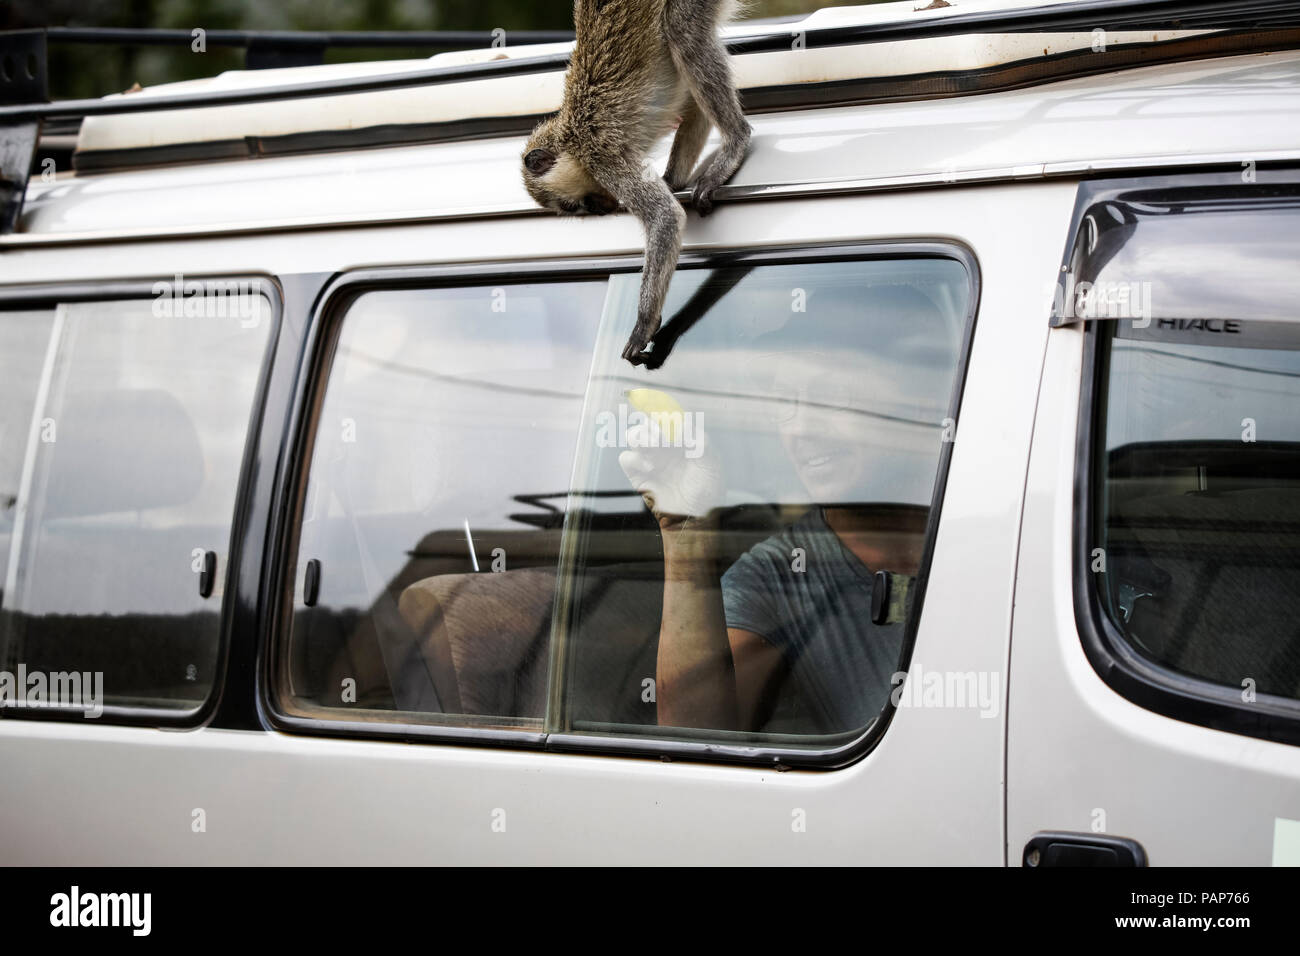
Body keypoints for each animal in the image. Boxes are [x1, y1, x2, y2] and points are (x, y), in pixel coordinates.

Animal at [521, 0, 752, 365]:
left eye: (579, 205)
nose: (602, 209)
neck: (570, 136)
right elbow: (692, 108)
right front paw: (673, 180)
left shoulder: (603, 157)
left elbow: (664, 216)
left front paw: (644, 323)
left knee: (682, 31)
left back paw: (737, 139)